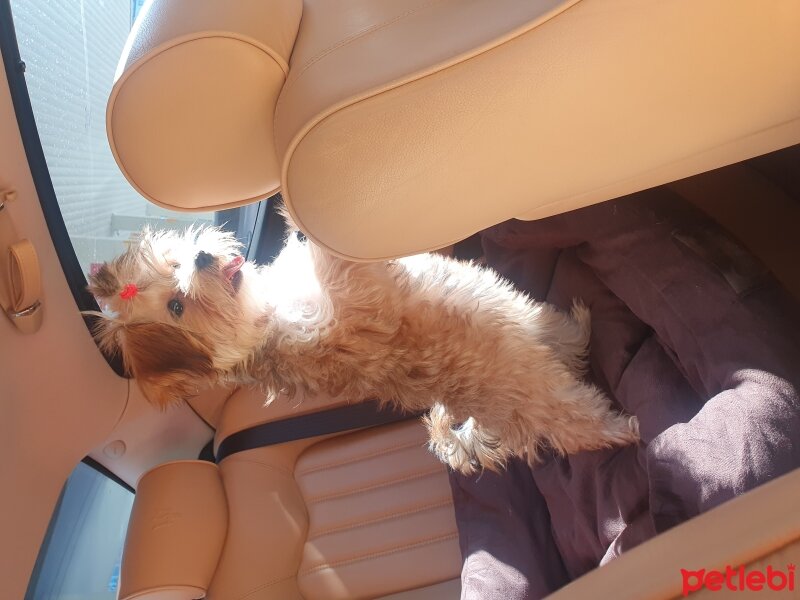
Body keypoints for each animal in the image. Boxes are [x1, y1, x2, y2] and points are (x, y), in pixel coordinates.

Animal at [86, 225, 636, 474]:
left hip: (534, 326)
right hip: (553, 404)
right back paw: (628, 428)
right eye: (177, 306)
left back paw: (581, 324)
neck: (263, 314)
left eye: (174, 263)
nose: (201, 256)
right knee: (583, 425)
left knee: (565, 339)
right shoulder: (356, 306)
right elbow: (337, 266)